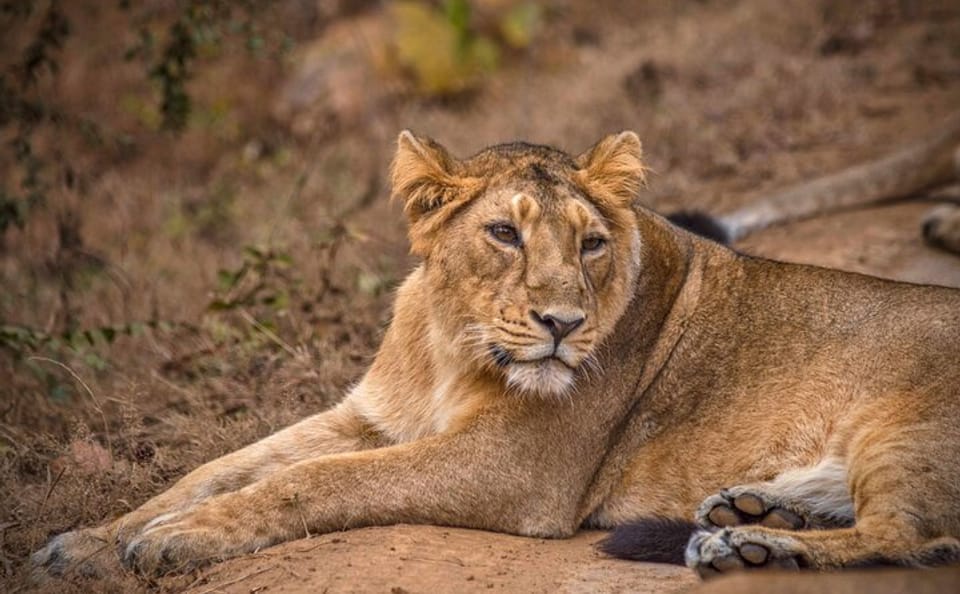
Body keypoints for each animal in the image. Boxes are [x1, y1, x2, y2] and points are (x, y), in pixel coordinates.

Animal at [32, 130, 960, 584]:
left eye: (590, 243)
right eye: (504, 233)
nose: (561, 323)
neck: (452, 341)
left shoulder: (515, 465)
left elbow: (314, 482)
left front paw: (177, 542)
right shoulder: (369, 416)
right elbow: (219, 468)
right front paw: (89, 543)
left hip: (905, 429)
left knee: (908, 535)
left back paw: (750, 549)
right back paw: (750, 515)